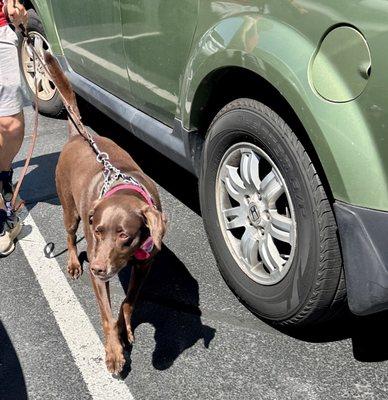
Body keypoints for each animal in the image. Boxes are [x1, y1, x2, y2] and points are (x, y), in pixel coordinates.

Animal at [45, 53, 167, 376]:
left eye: (125, 235)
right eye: (98, 231)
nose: (97, 267)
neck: (123, 186)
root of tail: (78, 135)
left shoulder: (145, 264)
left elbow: (128, 303)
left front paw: (125, 329)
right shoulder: (99, 273)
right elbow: (106, 316)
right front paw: (114, 353)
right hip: (69, 210)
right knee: (69, 236)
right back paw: (74, 263)